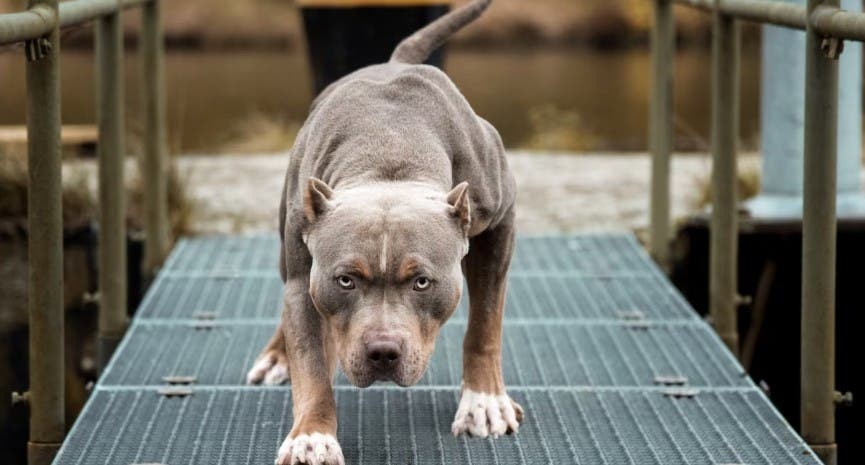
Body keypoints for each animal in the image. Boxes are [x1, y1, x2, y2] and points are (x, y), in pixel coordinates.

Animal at [243, 1, 520, 462]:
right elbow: (310, 363)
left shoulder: (500, 223)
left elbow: (486, 321)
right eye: (345, 280)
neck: (390, 151)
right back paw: (279, 357)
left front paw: (484, 402)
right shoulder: (306, 277)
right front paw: (312, 436)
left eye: (422, 282)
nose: (383, 353)